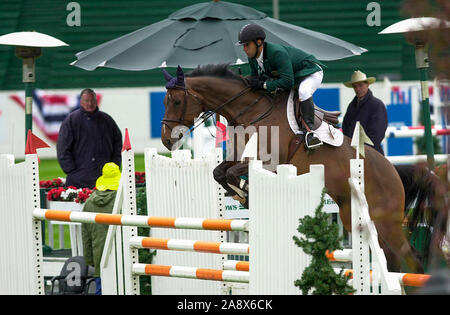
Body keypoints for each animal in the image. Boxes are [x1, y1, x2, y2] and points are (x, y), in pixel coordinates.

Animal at [159, 63, 440, 274]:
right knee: (392, 258)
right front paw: (240, 194)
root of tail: (393, 172)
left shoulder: (270, 163)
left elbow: (230, 173)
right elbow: (219, 172)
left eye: (176, 101)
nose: (166, 140)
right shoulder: (239, 158)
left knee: (410, 256)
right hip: (355, 218)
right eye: (165, 101)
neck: (250, 112)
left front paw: (244, 192)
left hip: (385, 220)